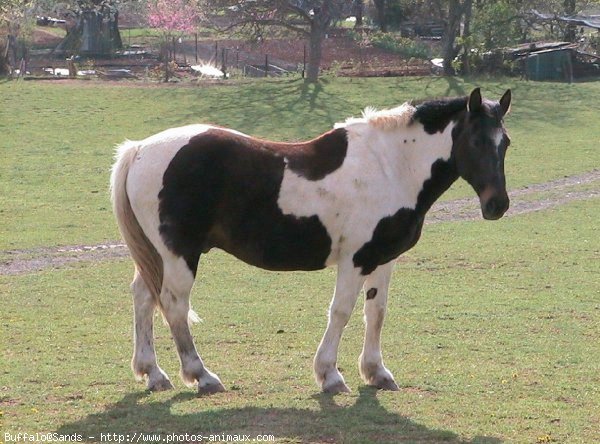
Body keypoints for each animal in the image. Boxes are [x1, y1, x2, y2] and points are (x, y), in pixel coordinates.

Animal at [111, 88, 510, 394]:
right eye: (476, 140)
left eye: (505, 142)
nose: (498, 205)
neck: (391, 166)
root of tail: (140, 149)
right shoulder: (356, 260)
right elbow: (341, 311)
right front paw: (330, 375)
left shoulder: (383, 258)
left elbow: (376, 312)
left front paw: (376, 372)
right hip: (180, 255)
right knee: (174, 305)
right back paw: (202, 376)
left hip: (157, 256)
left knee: (144, 298)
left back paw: (153, 373)